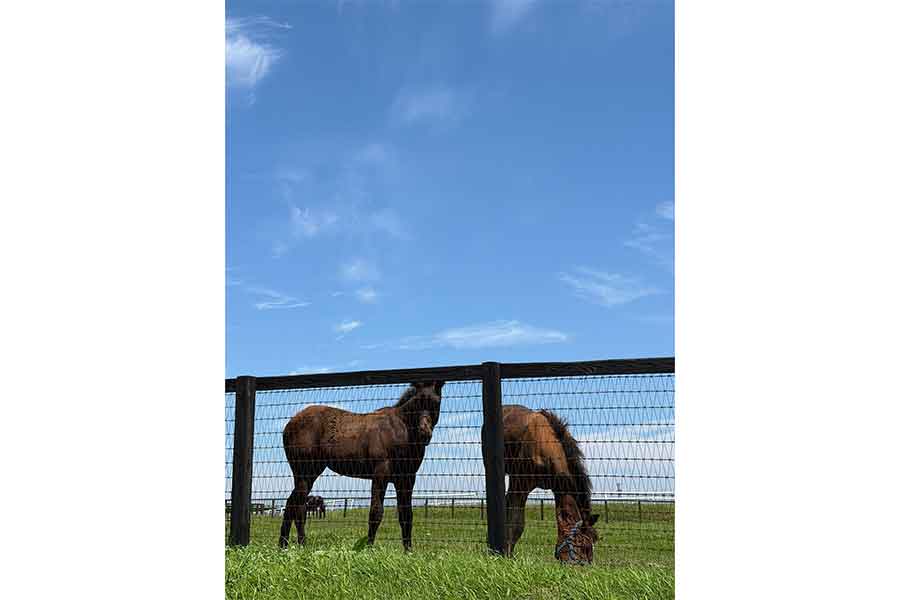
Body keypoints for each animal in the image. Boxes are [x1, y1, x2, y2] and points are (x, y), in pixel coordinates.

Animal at [279, 381, 444, 550]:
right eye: (417, 402)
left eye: (436, 402)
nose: (424, 434)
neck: (401, 430)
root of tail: (290, 423)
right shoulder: (381, 473)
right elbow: (376, 511)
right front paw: (369, 549)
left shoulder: (406, 479)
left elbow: (406, 515)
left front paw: (408, 550)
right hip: (305, 471)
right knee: (299, 507)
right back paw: (301, 544)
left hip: (309, 473)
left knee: (291, 505)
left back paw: (284, 545)